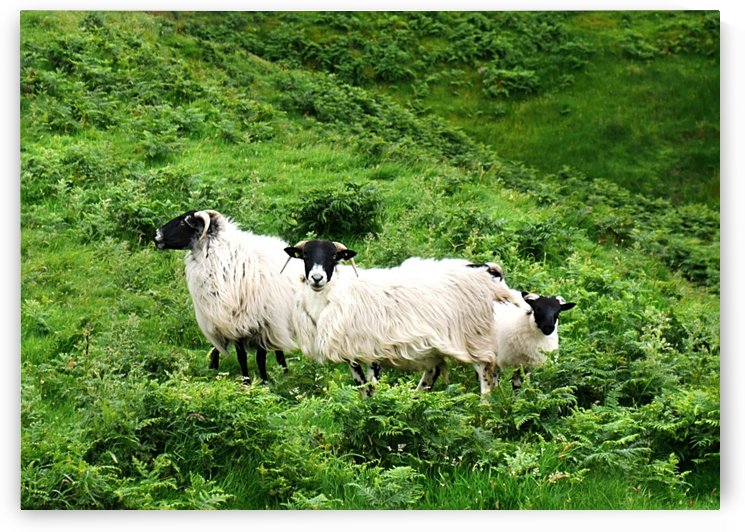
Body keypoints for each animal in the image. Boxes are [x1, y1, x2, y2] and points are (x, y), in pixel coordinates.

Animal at [153, 209, 303, 384]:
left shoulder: (261, 325)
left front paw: (264, 382)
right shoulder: (232, 325)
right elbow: (241, 357)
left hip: (278, 321)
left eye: (183, 223)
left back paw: (284, 372)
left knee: (278, 350)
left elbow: (260, 358)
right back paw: (213, 368)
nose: (156, 235)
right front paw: (246, 381)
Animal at [281, 239, 523, 396]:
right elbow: (361, 386)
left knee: (486, 376)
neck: (337, 293)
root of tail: (489, 270)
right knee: (434, 373)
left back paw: (484, 410)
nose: (317, 278)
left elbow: (372, 386)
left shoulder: (373, 350)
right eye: (305, 256)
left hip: (475, 336)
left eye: (333, 256)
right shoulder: (353, 355)